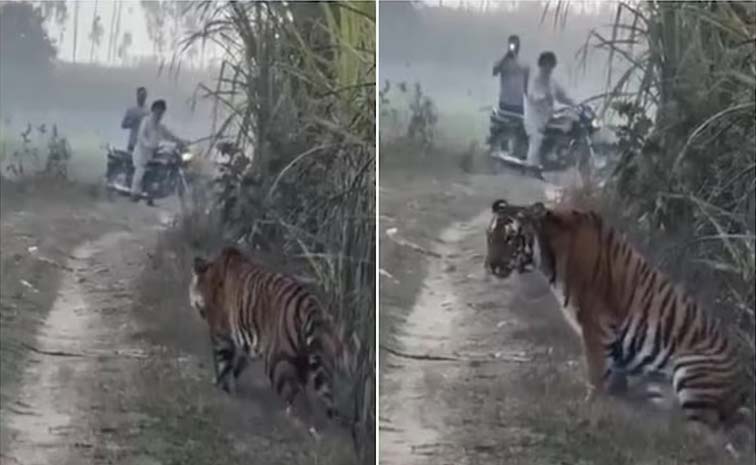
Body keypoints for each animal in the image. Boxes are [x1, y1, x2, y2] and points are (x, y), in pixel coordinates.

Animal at [188, 246, 350, 425]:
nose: (192, 303)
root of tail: (311, 305)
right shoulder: (249, 343)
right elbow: (238, 364)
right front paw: (231, 385)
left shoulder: (221, 334)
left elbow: (223, 362)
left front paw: (219, 386)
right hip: (310, 361)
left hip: (277, 361)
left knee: (294, 392)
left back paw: (290, 419)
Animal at [484, 199, 752, 445]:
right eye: (490, 237)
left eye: (510, 238)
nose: (491, 265)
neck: (549, 251)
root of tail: (743, 387)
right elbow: (612, 374)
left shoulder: (595, 324)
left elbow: (595, 373)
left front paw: (589, 409)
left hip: (692, 369)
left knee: (707, 433)